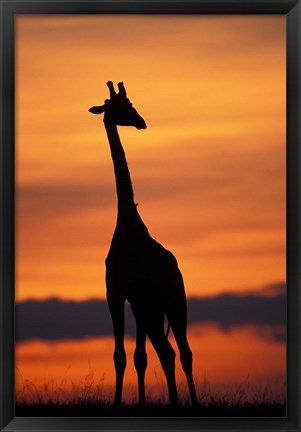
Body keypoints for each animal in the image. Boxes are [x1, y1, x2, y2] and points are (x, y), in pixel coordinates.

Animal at [89, 82, 197, 408]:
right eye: (120, 106)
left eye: (131, 103)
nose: (141, 121)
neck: (127, 222)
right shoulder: (126, 299)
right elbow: (132, 357)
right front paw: (132, 403)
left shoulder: (122, 296)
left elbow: (127, 356)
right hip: (161, 305)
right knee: (173, 352)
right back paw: (182, 403)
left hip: (169, 302)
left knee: (177, 352)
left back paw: (184, 403)